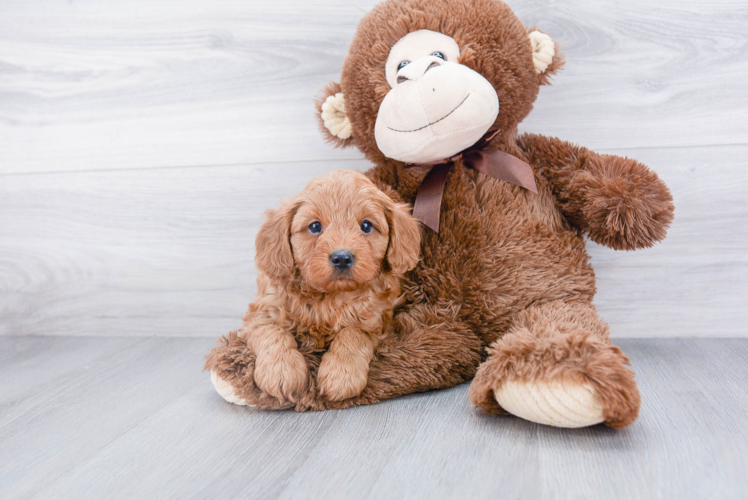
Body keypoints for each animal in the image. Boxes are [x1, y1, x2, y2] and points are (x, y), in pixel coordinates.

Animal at [240, 170, 418, 404]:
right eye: (315, 226)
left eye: (366, 226)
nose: (342, 258)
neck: (330, 296)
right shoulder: (262, 310)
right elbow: (272, 332)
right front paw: (281, 371)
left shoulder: (376, 319)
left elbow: (352, 334)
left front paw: (341, 376)